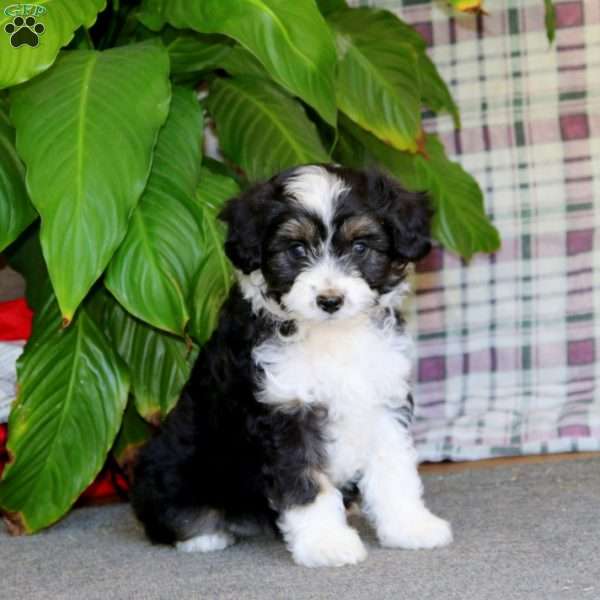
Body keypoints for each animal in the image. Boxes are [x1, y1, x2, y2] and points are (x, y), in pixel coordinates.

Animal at [130, 165, 450, 568]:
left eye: (360, 247)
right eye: (296, 249)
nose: (330, 300)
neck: (331, 335)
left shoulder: (383, 398)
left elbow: (394, 469)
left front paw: (410, 526)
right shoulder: (286, 412)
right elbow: (306, 481)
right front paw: (326, 543)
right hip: (176, 463)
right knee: (172, 512)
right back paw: (204, 535)